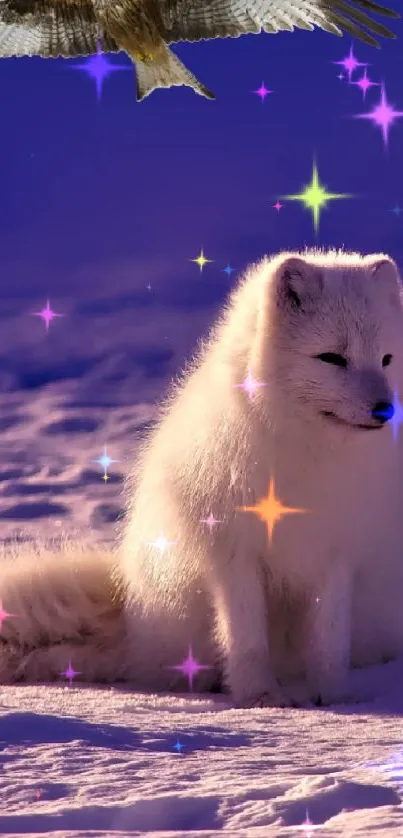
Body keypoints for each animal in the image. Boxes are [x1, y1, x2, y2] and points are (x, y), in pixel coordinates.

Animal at [2, 249, 403, 708]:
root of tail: (131, 618)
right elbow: (247, 638)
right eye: (332, 358)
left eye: (387, 359)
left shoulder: (335, 555)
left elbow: (329, 640)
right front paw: (260, 697)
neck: (307, 455)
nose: (384, 410)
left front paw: (333, 697)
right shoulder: (232, 553)